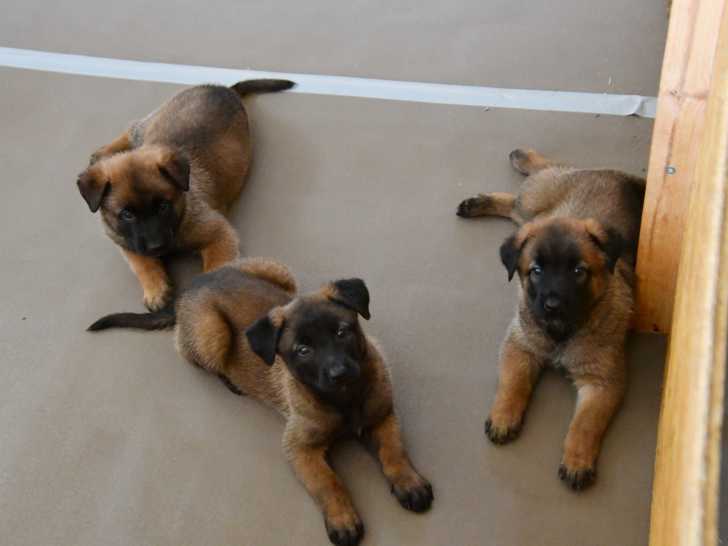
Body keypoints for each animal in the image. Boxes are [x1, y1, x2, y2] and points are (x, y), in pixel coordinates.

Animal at [76, 79, 294, 311]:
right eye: (127, 214)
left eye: (163, 206)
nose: (156, 246)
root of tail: (223, 88)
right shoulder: (123, 239)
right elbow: (140, 262)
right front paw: (155, 288)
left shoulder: (220, 234)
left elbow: (216, 267)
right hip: (151, 123)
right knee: (132, 128)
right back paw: (104, 152)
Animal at [88, 258, 433, 546]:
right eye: (303, 350)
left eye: (342, 332)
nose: (340, 373)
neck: (344, 400)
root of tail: (192, 286)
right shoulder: (300, 448)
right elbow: (328, 482)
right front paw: (342, 519)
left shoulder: (383, 415)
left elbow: (394, 451)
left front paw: (409, 484)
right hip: (212, 333)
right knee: (192, 356)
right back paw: (230, 382)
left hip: (279, 272)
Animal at [456, 149, 645, 490]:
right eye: (536, 271)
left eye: (578, 271)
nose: (553, 305)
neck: (562, 332)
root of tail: (607, 171)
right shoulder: (519, 346)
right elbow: (513, 383)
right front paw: (504, 416)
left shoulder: (602, 382)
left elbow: (585, 424)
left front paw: (577, 460)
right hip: (534, 204)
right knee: (524, 193)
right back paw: (505, 176)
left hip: (532, 212)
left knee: (518, 206)